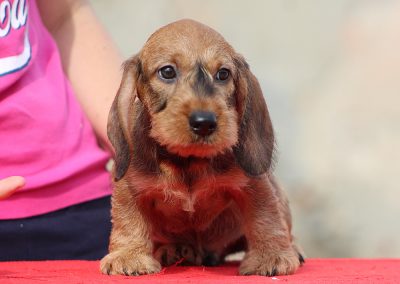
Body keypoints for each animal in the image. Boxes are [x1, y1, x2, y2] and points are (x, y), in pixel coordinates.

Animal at [101, 18, 304, 276]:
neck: (188, 161)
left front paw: (271, 256)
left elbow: (265, 217)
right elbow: (129, 220)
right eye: (167, 71)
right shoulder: (130, 188)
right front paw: (129, 256)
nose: (204, 122)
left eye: (223, 74)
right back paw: (177, 249)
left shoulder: (254, 185)